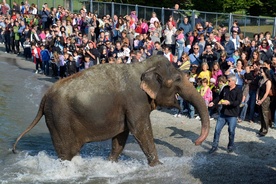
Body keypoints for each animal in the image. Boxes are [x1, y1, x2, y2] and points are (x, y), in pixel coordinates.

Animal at [12, 55, 210, 166]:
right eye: (177, 79)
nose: (196, 143)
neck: (142, 65)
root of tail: (44, 97)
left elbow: (122, 133)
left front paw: (111, 163)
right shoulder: (135, 99)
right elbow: (139, 129)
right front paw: (158, 165)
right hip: (59, 119)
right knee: (67, 152)